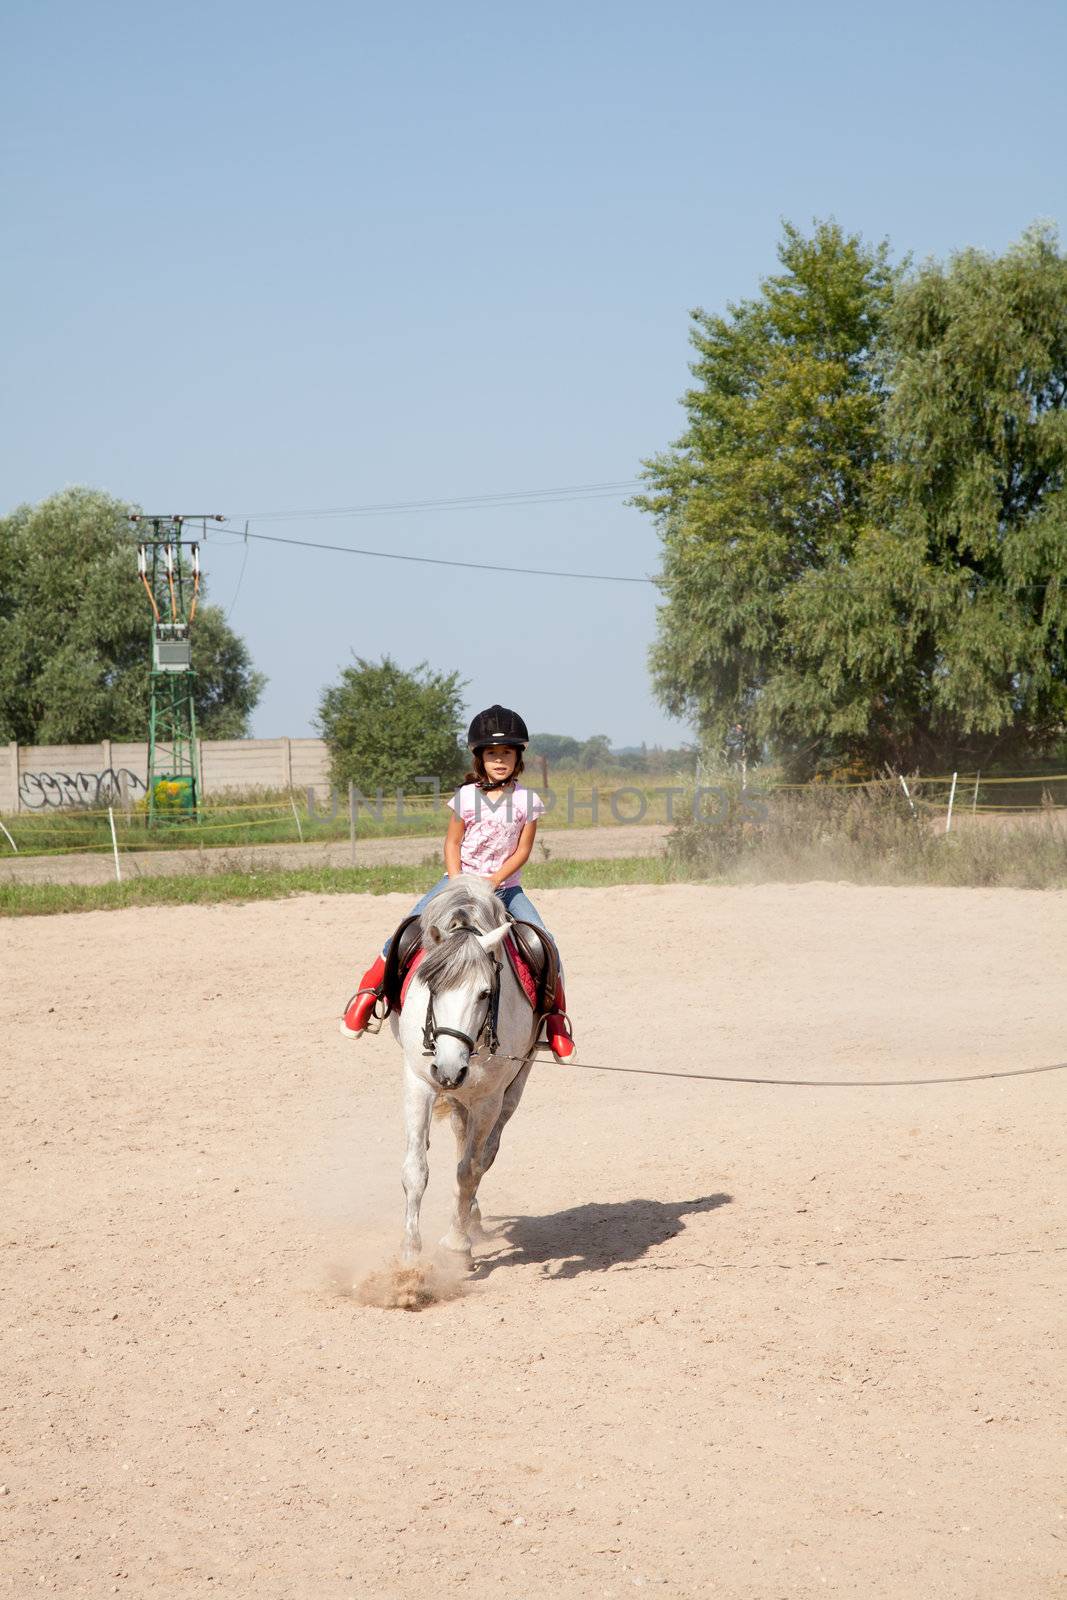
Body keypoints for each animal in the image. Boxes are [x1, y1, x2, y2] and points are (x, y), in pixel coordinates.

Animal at [390, 876, 537, 1260]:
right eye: (433, 985)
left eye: (485, 993)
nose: (449, 1069)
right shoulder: (419, 1082)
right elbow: (415, 1169)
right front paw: (410, 1255)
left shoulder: (488, 1099)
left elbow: (469, 1170)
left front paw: (458, 1245)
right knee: (460, 1134)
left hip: (511, 1089)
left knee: (484, 1154)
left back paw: (469, 1218)